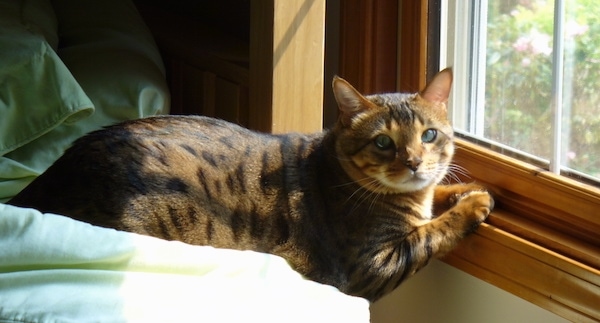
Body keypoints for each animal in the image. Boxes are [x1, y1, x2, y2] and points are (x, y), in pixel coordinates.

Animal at [8, 69, 492, 304]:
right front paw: (472, 206)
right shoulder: (370, 266)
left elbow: (438, 199)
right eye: (383, 142)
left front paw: (470, 189)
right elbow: (431, 232)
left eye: (429, 135)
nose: (412, 162)